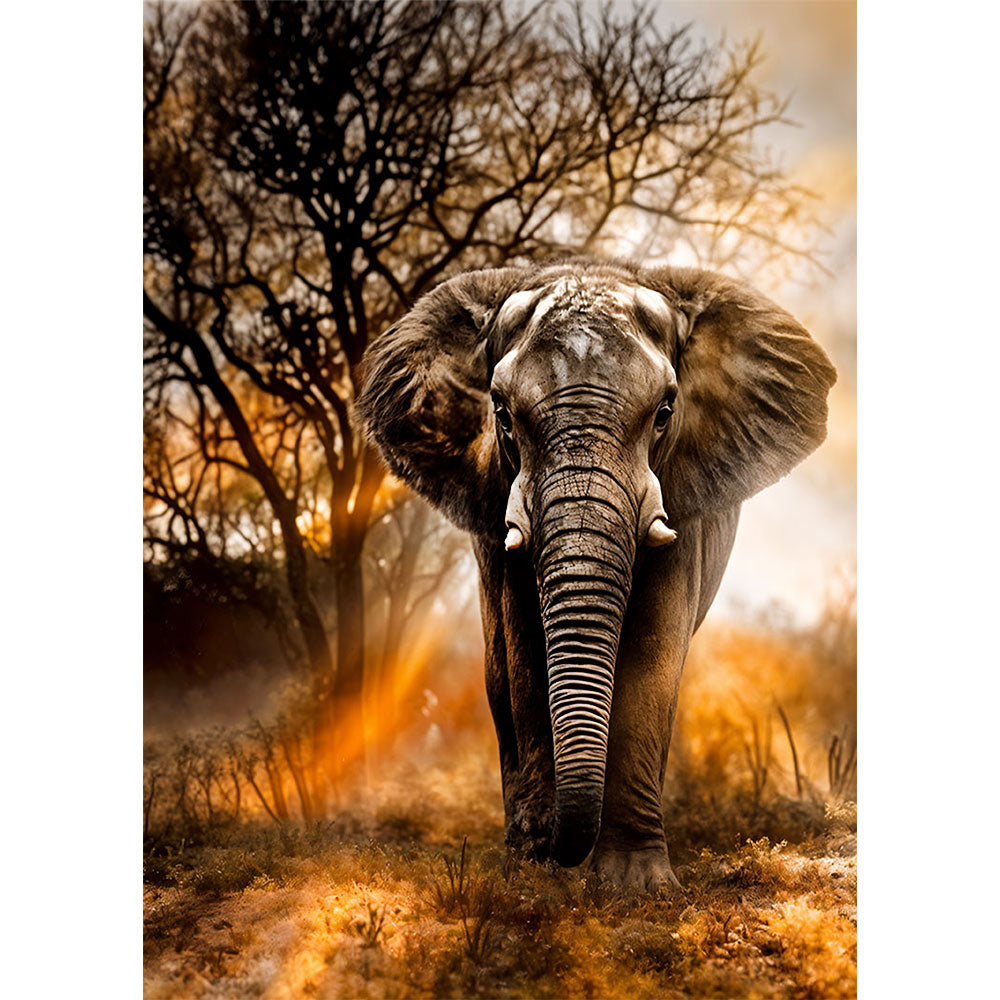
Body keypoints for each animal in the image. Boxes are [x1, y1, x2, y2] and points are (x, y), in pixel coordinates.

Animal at [358, 258, 836, 892]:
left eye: (665, 412)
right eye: (502, 414)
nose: (550, 843)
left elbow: (653, 651)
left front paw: (634, 887)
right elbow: (524, 653)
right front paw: (537, 876)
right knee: (496, 673)